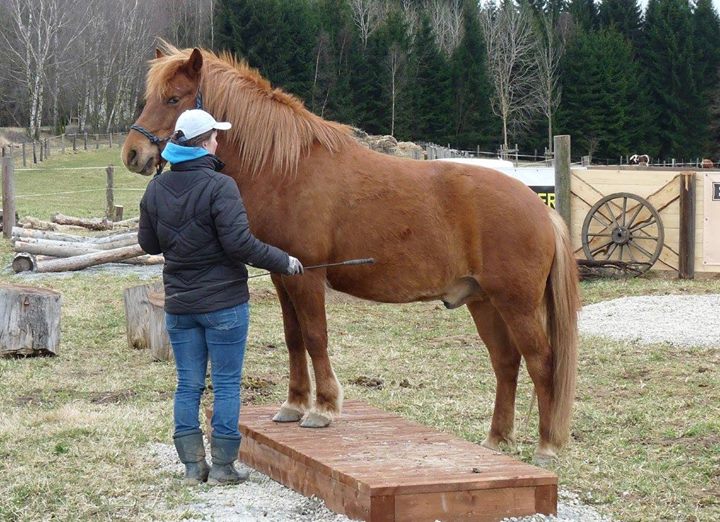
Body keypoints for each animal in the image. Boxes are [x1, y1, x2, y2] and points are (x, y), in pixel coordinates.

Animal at [124, 44, 580, 460]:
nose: (133, 154)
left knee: (541, 362)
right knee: (505, 362)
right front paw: (294, 405)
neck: (288, 169)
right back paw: (496, 439)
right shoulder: (284, 275)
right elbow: (293, 339)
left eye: (173, 98)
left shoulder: (308, 276)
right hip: (482, 301)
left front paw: (323, 408)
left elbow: (315, 336)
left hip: (516, 304)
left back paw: (545, 448)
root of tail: (540, 208)